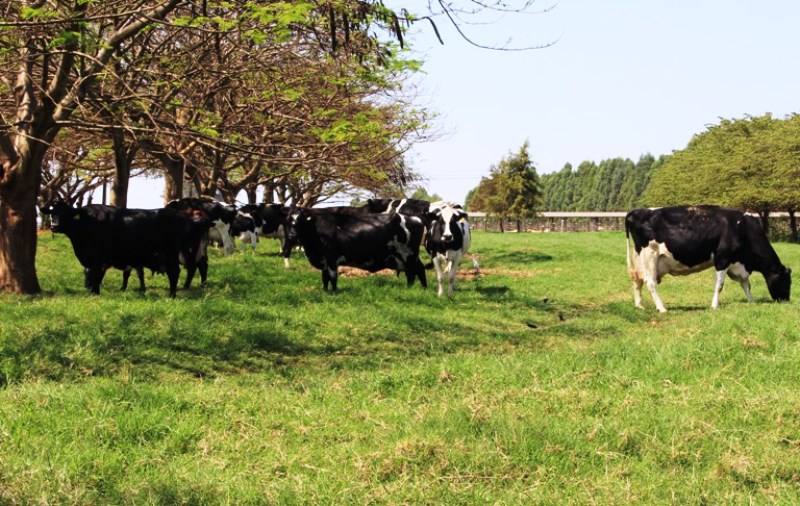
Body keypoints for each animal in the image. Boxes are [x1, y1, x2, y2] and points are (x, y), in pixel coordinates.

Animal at [40, 202, 209, 296]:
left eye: (67, 213)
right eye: (52, 212)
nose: (54, 225)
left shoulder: (98, 260)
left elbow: (96, 277)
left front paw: (95, 293)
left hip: (173, 253)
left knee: (176, 272)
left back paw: (172, 295)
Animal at [284, 207, 428, 292]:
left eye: (300, 220)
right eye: (288, 219)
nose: (291, 235)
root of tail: (414, 217)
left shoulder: (331, 258)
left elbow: (333, 277)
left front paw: (334, 292)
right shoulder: (324, 260)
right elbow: (324, 278)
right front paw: (325, 291)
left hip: (408, 255)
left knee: (411, 274)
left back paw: (409, 289)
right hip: (412, 256)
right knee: (420, 269)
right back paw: (424, 288)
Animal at [624, 206, 788, 312]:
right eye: (787, 282)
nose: (786, 300)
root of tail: (638, 210)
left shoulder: (737, 264)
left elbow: (746, 284)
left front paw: (752, 301)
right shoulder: (722, 258)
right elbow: (719, 285)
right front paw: (714, 306)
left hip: (639, 258)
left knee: (637, 280)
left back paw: (639, 305)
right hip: (650, 255)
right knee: (650, 282)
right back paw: (662, 308)